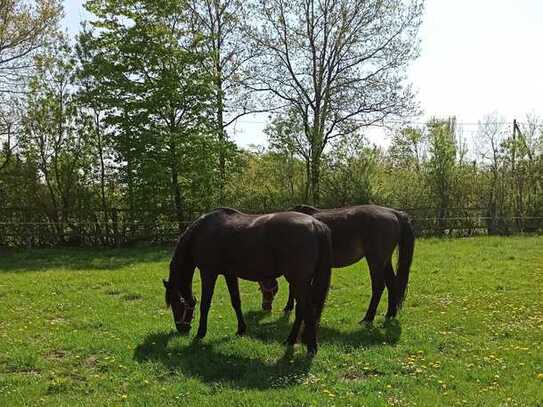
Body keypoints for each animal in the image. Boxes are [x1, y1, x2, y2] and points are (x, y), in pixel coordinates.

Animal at [162, 209, 332, 356]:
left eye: (176, 302)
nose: (181, 328)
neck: (201, 232)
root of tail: (316, 224)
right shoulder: (229, 275)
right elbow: (236, 301)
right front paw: (241, 329)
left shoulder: (208, 273)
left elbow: (205, 304)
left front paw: (200, 334)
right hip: (300, 282)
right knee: (301, 309)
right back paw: (290, 340)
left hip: (298, 280)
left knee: (307, 310)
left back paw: (311, 347)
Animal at [262, 206, 414, 324]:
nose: (265, 307)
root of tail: (394, 212)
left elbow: (292, 288)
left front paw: (288, 307)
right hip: (385, 261)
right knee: (392, 285)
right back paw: (390, 314)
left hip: (375, 260)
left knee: (378, 286)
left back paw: (368, 318)